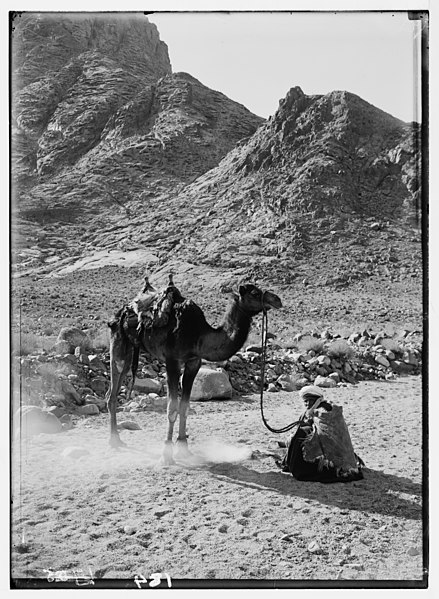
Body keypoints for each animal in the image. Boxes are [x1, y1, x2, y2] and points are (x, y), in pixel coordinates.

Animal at [105, 278, 282, 464]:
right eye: (254, 293)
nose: (277, 300)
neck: (198, 335)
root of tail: (120, 312)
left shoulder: (193, 362)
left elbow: (185, 407)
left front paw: (183, 448)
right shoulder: (172, 361)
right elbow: (172, 408)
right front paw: (166, 454)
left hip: (131, 350)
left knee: (115, 386)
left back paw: (117, 439)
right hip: (118, 343)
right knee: (112, 391)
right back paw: (114, 441)